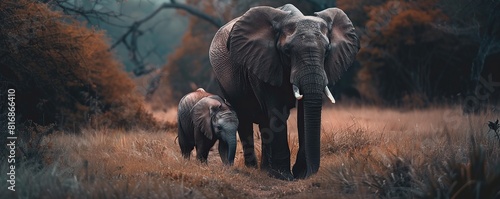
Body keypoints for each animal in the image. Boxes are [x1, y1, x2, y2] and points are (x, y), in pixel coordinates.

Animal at [208, 3, 360, 180]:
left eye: (327, 51)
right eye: (287, 51)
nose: (308, 173)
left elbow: (303, 113)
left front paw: (297, 173)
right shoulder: (263, 62)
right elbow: (276, 110)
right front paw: (284, 175)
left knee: (263, 120)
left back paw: (266, 170)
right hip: (224, 80)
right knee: (244, 117)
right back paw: (254, 168)